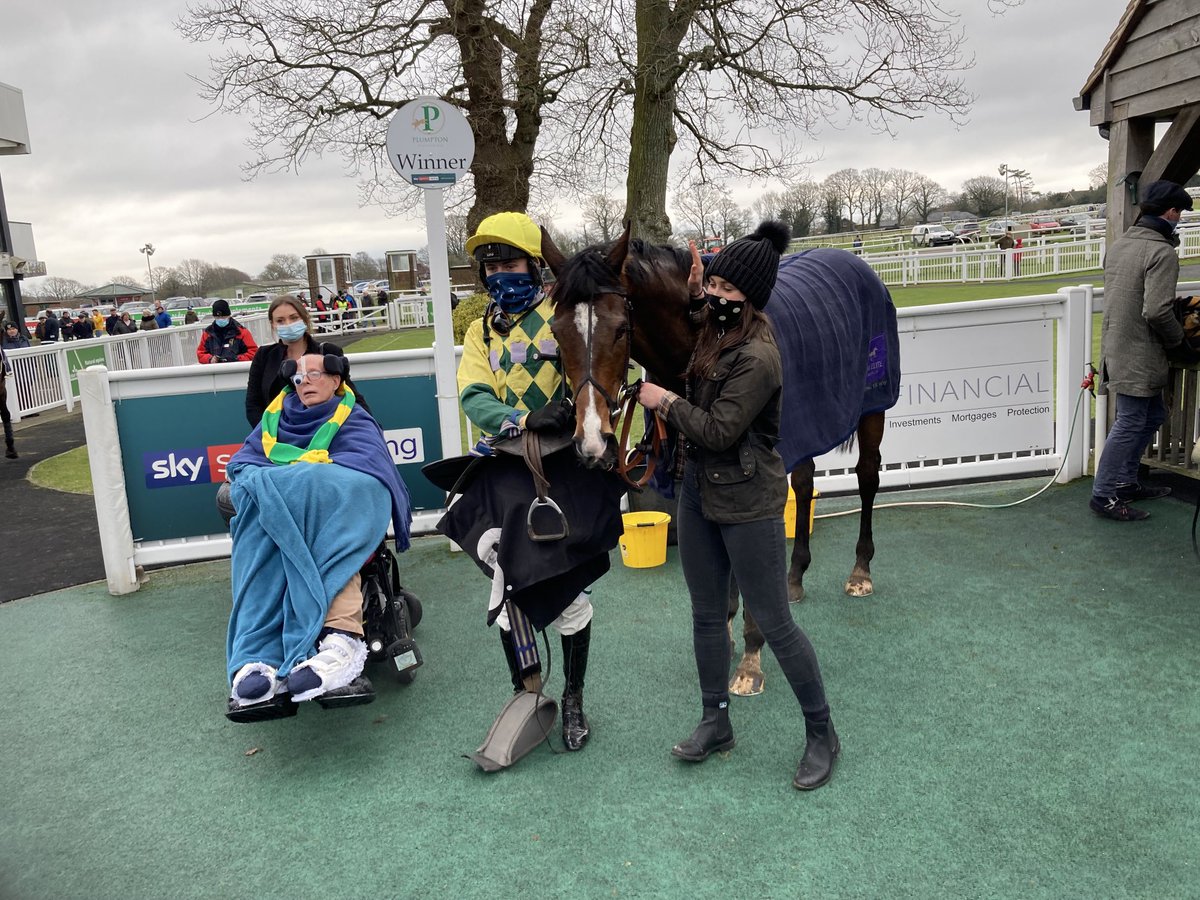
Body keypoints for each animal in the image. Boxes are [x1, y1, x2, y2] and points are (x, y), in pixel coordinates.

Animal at [547, 225, 902, 696]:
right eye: (556, 332)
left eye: (622, 329)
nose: (591, 441)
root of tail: (857, 264)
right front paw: (729, 631)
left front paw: (751, 656)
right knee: (805, 483)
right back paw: (794, 578)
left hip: (872, 407)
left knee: (866, 477)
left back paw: (861, 570)